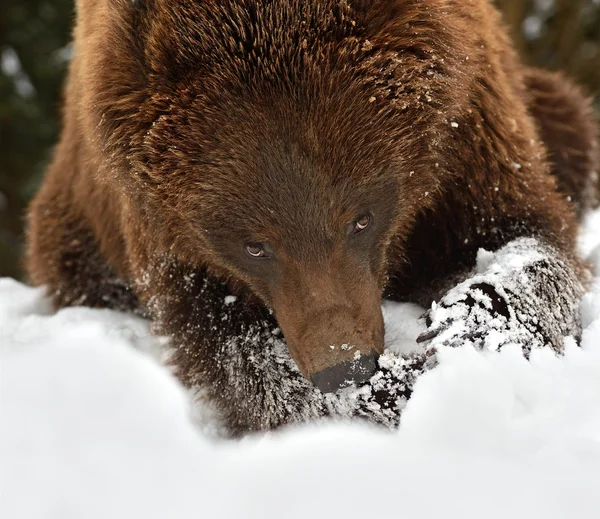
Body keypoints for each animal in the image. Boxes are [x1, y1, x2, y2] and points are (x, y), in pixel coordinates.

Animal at [28, 0, 600, 436]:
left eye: (360, 219)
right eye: (255, 244)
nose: (344, 366)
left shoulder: (467, 136)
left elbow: (518, 236)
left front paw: (462, 327)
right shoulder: (165, 228)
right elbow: (228, 345)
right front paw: (384, 393)